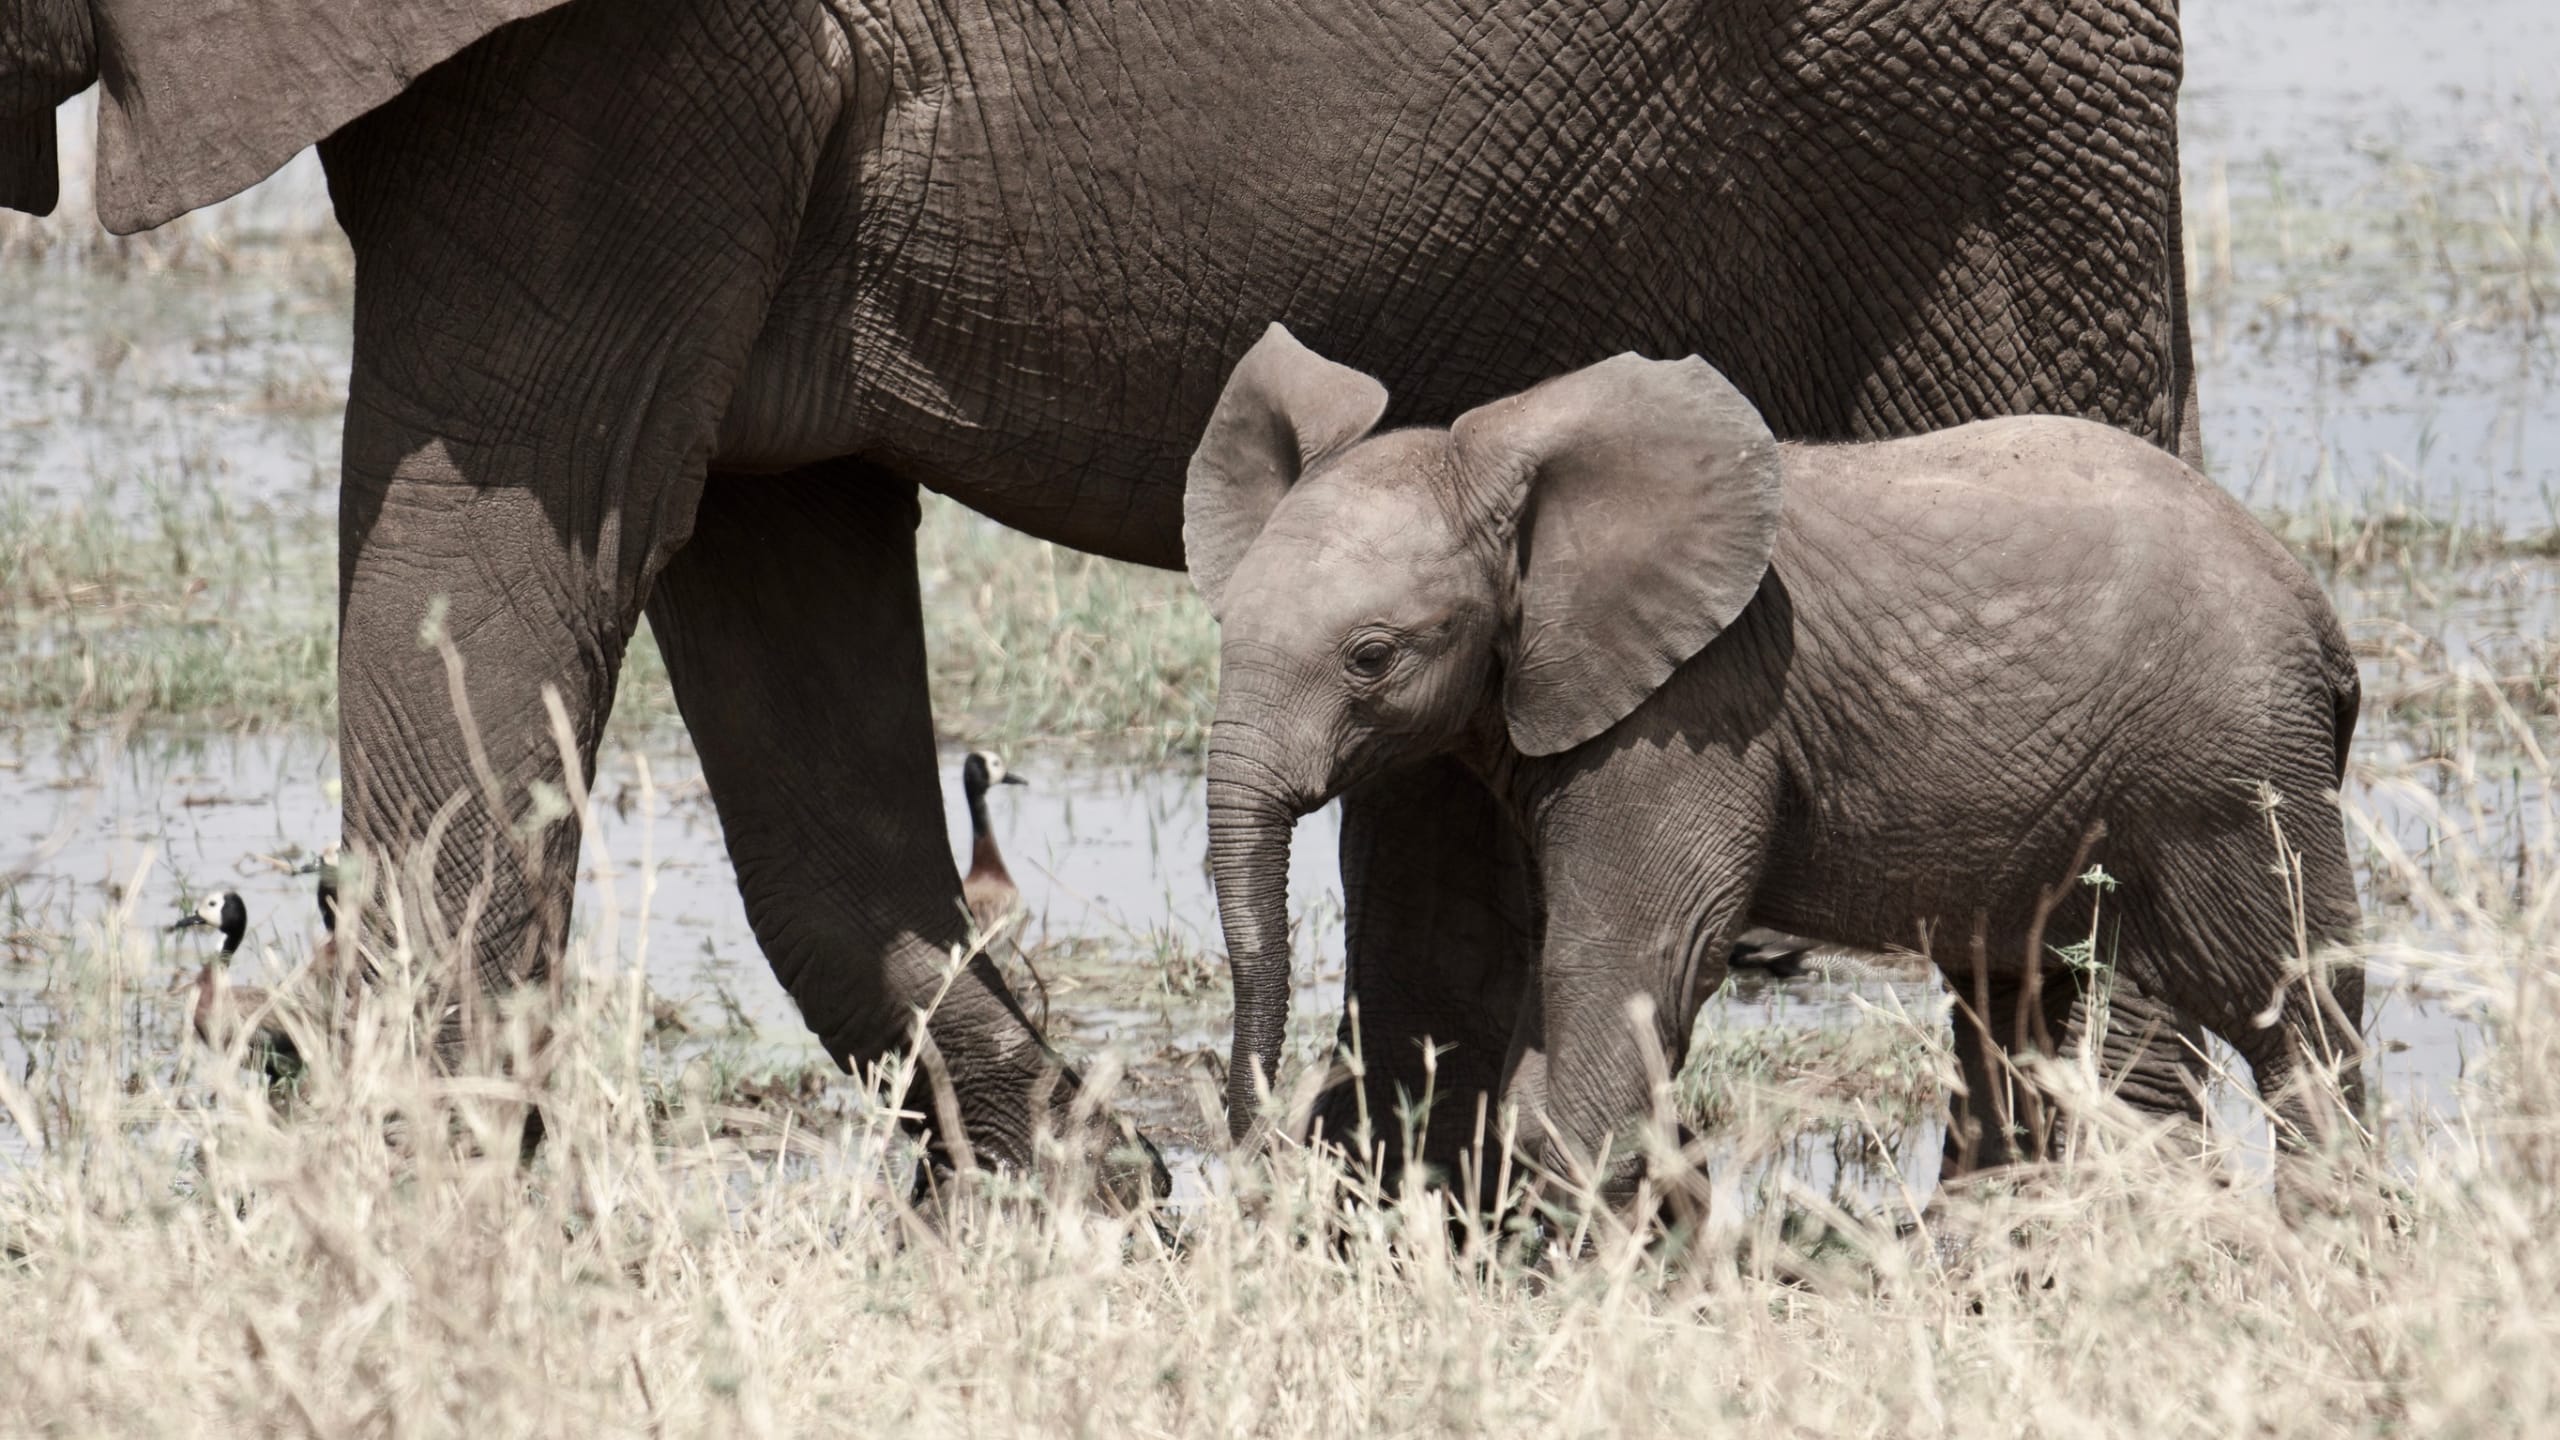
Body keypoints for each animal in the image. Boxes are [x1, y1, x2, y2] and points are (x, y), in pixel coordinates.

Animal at [5, 0, 2204, 1201]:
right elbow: (769, 592)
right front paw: (1091, 1202)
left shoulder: (625, 63)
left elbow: (494, 543)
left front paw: (395, 1218)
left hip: (1980, 132)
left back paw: (2071, 1224)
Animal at [1186, 326, 2366, 1198]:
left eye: (1371, 658)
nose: (1253, 1155)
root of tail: (2312, 601)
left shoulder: (1696, 709)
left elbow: (1624, 962)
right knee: (2031, 1002)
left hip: (2228, 762)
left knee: (2290, 1001)